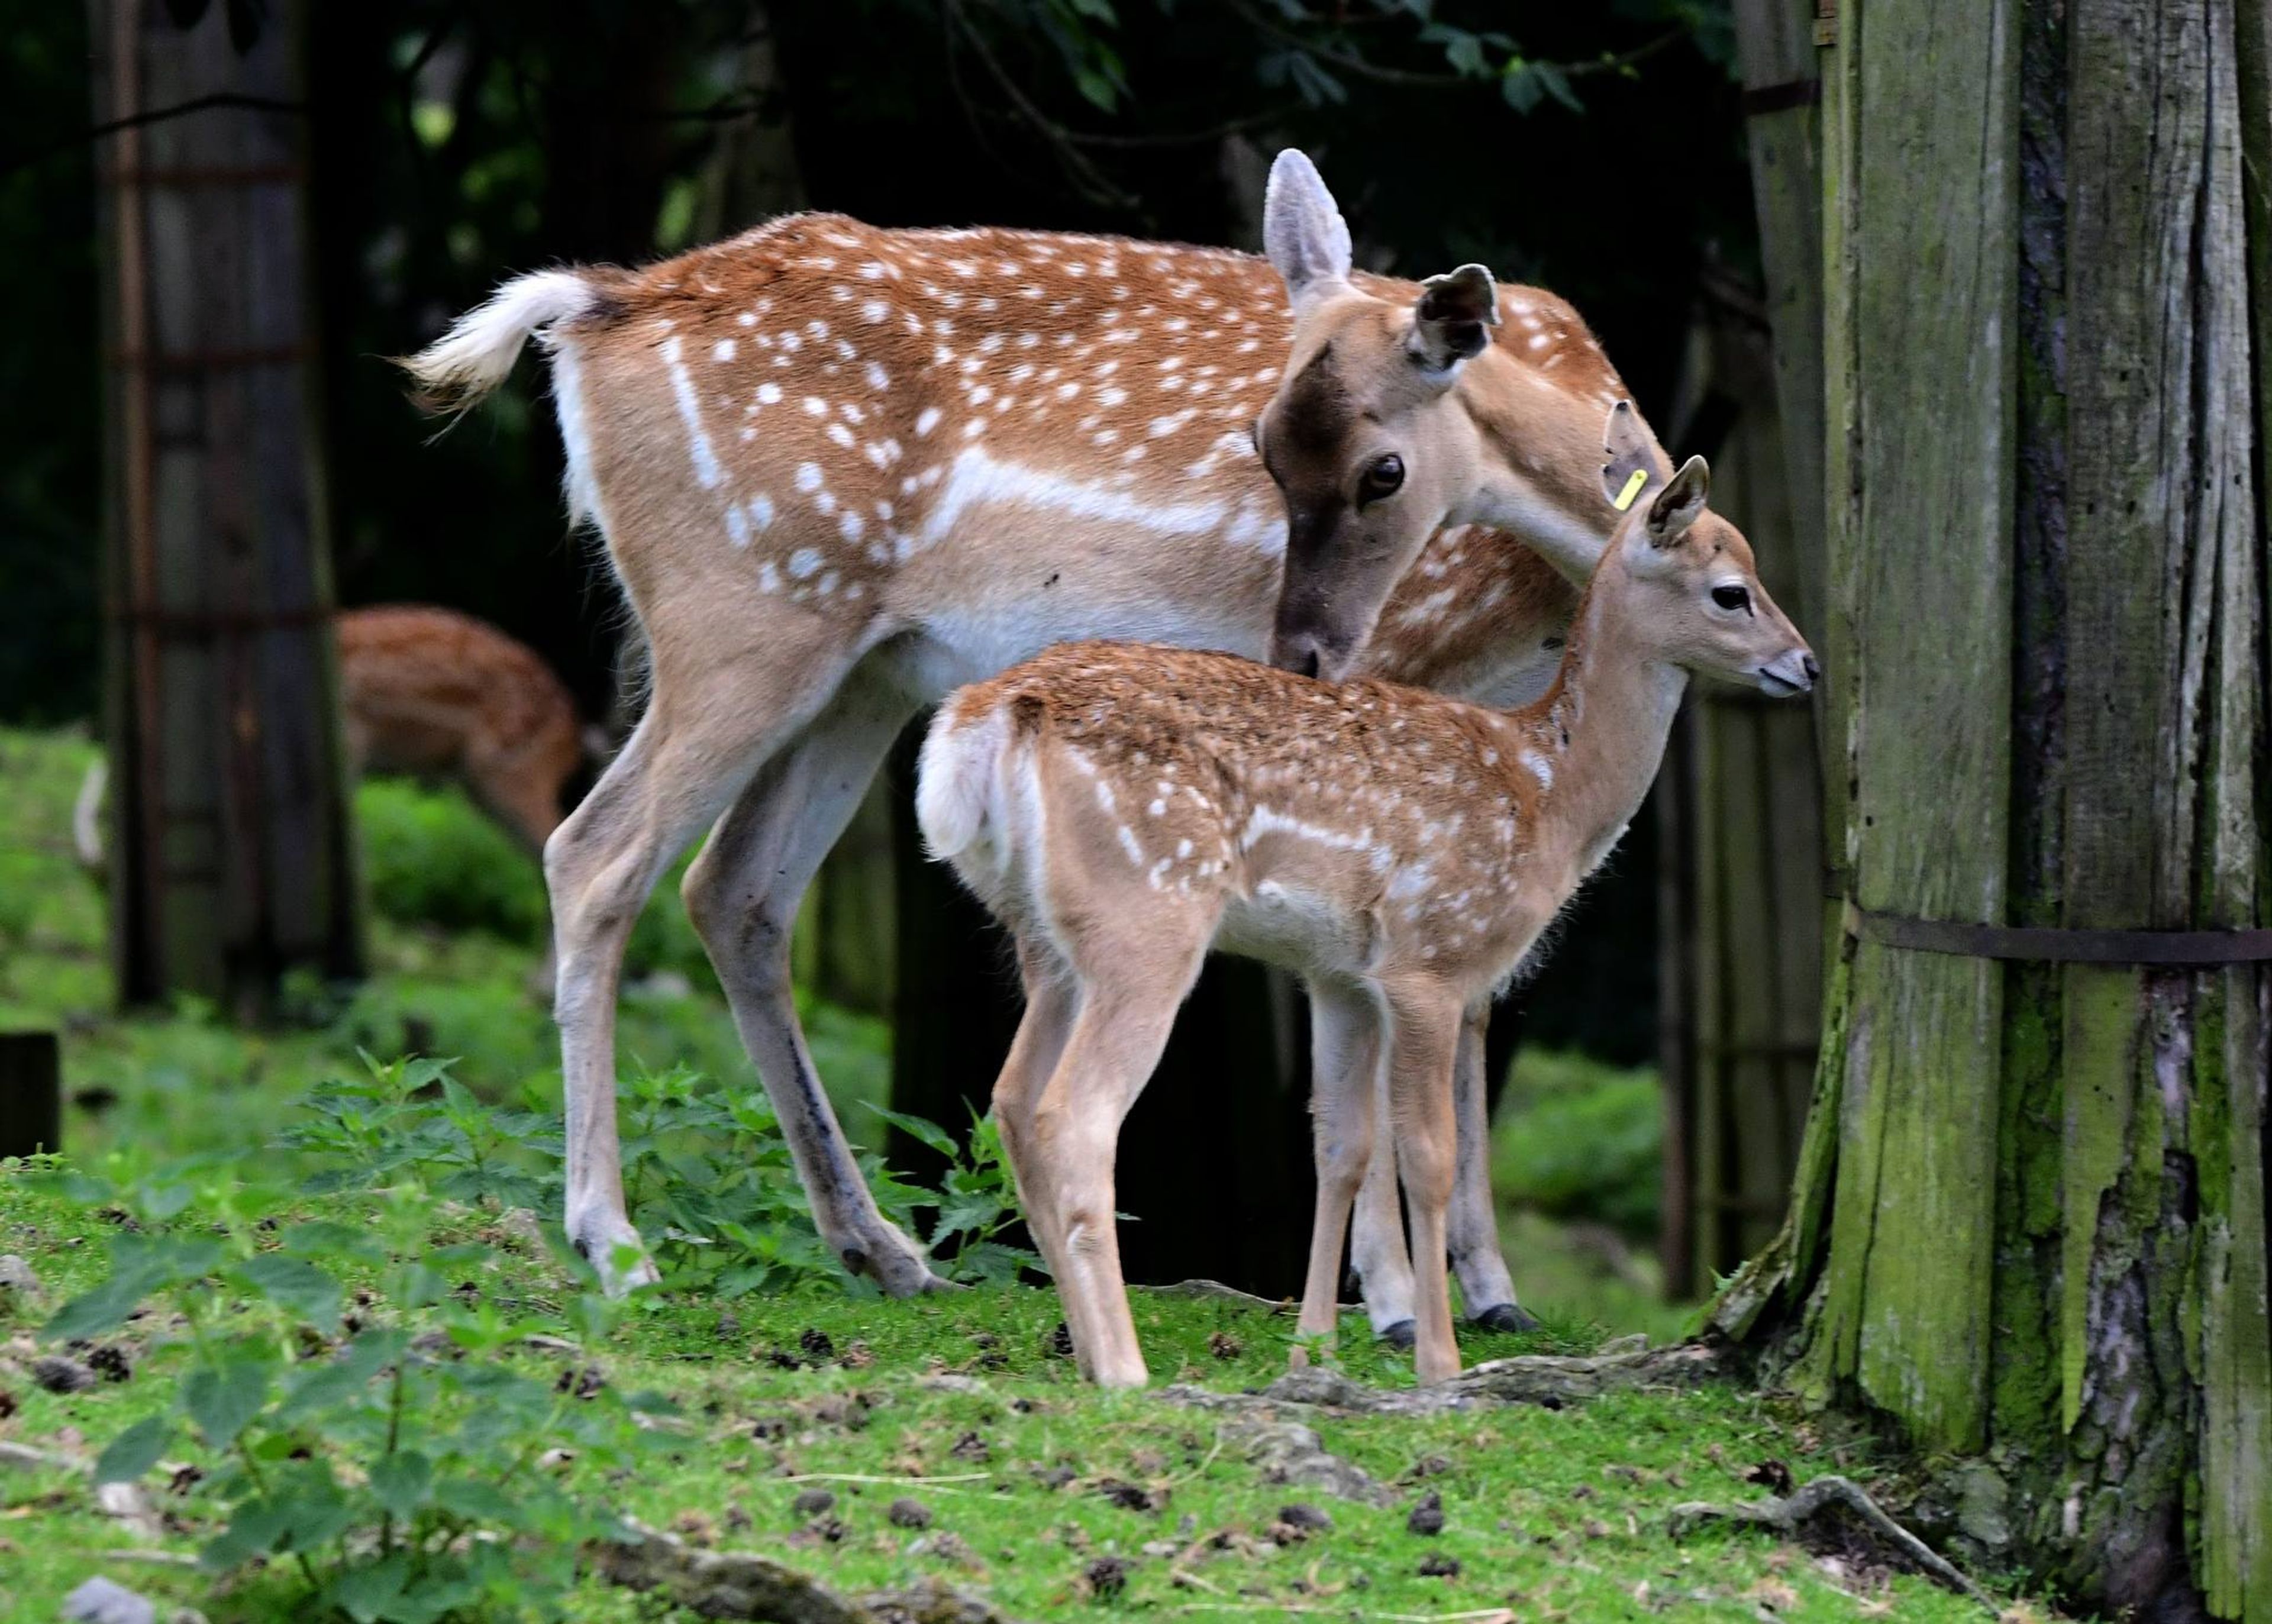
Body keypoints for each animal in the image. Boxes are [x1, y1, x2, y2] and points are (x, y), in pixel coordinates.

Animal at [913, 404, 1818, 1381]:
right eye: (1732, 591)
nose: (1806, 664)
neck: (1548, 793)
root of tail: (984, 723)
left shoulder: (1340, 973)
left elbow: (1340, 1146)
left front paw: (1314, 1348)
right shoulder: (1430, 959)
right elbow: (1429, 1154)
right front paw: (1440, 1360)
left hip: (1045, 937)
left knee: (1011, 1103)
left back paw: (1086, 1353)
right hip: (1147, 913)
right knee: (1075, 1118)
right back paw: (1125, 1368)